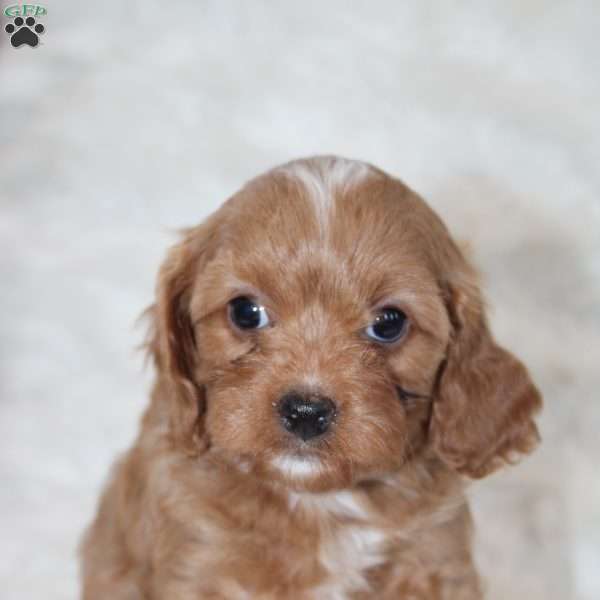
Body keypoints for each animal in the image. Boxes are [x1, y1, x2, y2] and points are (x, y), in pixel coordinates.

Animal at [81, 157, 544, 596]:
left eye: (389, 323)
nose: (305, 411)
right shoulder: (200, 561)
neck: (319, 503)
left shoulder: (435, 560)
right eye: (245, 311)